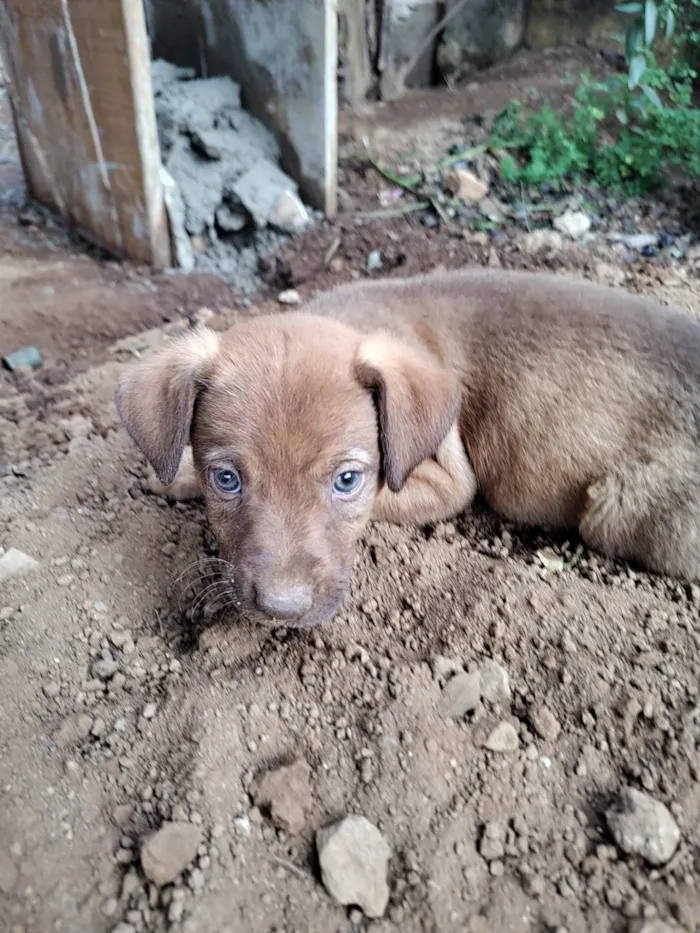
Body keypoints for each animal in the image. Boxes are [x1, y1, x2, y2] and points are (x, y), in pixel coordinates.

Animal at [117, 268, 700, 628]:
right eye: (227, 479)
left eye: (347, 481)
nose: (281, 610)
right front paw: (175, 476)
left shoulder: (449, 482)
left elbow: (386, 497)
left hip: (617, 510)